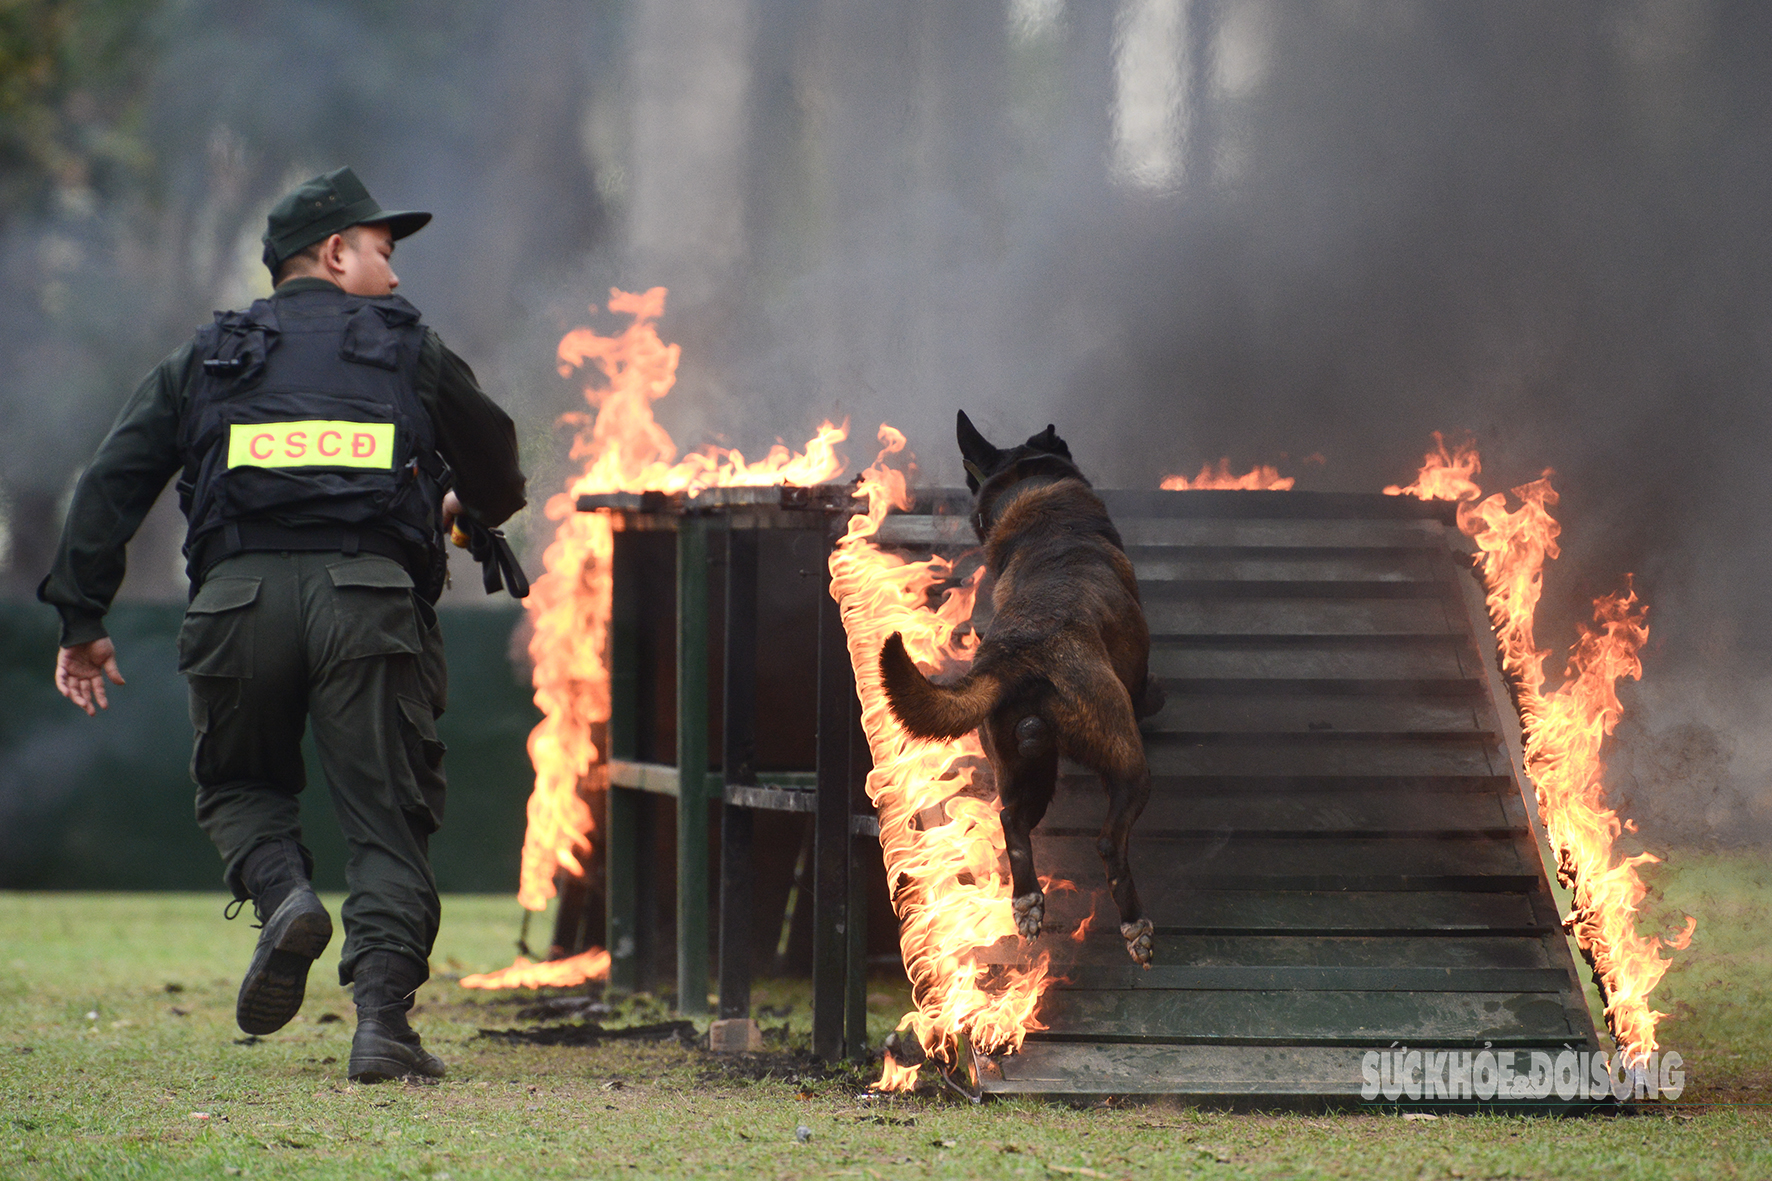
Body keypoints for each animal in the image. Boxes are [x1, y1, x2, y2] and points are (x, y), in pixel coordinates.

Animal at [875, 409, 1155, 964]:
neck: (1035, 499)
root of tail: (1016, 655)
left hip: (1026, 768)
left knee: (1011, 822)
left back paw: (1027, 902)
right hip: (1126, 763)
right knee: (1109, 844)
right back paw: (1135, 926)